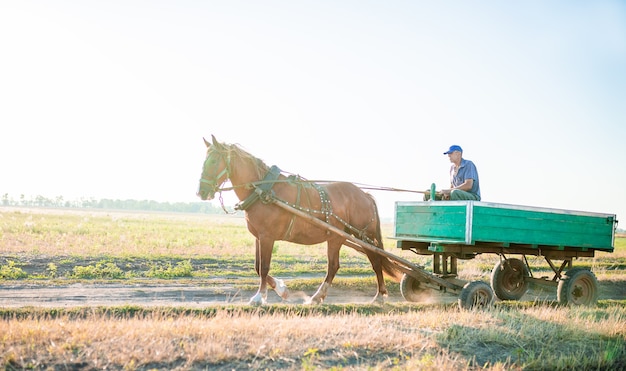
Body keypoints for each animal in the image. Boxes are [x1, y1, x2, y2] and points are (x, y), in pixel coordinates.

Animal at [196, 134, 400, 306]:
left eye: (213, 161)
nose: (201, 192)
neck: (264, 190)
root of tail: (364, 195)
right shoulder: (258, 237)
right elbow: (257, 266)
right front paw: (281, 290)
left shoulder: (267, 236)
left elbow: (264, 266)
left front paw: (259, 297)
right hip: (341, 237)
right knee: (342, 265)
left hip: (358, 236)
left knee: (367, 262)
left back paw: (375, 295)